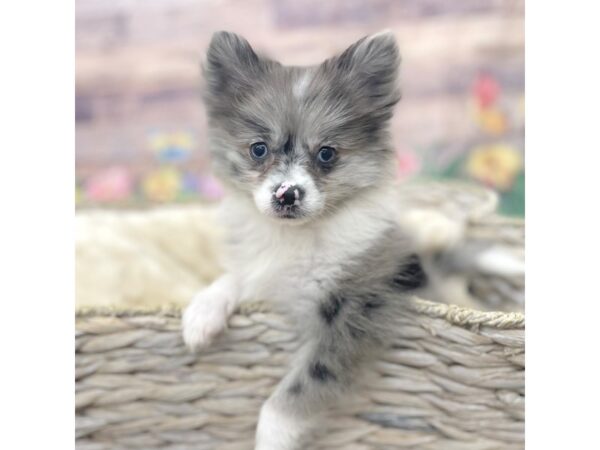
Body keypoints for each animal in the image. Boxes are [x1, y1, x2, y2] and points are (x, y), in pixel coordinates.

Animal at [183, 29, 432, 448]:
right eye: (259, 149)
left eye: (327, 154)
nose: (287, 194)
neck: (294, 238)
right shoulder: (266, 280)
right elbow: (235, 277)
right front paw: (201, 314)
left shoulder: (358, 307)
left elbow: (304, 384)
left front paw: (272, 435)